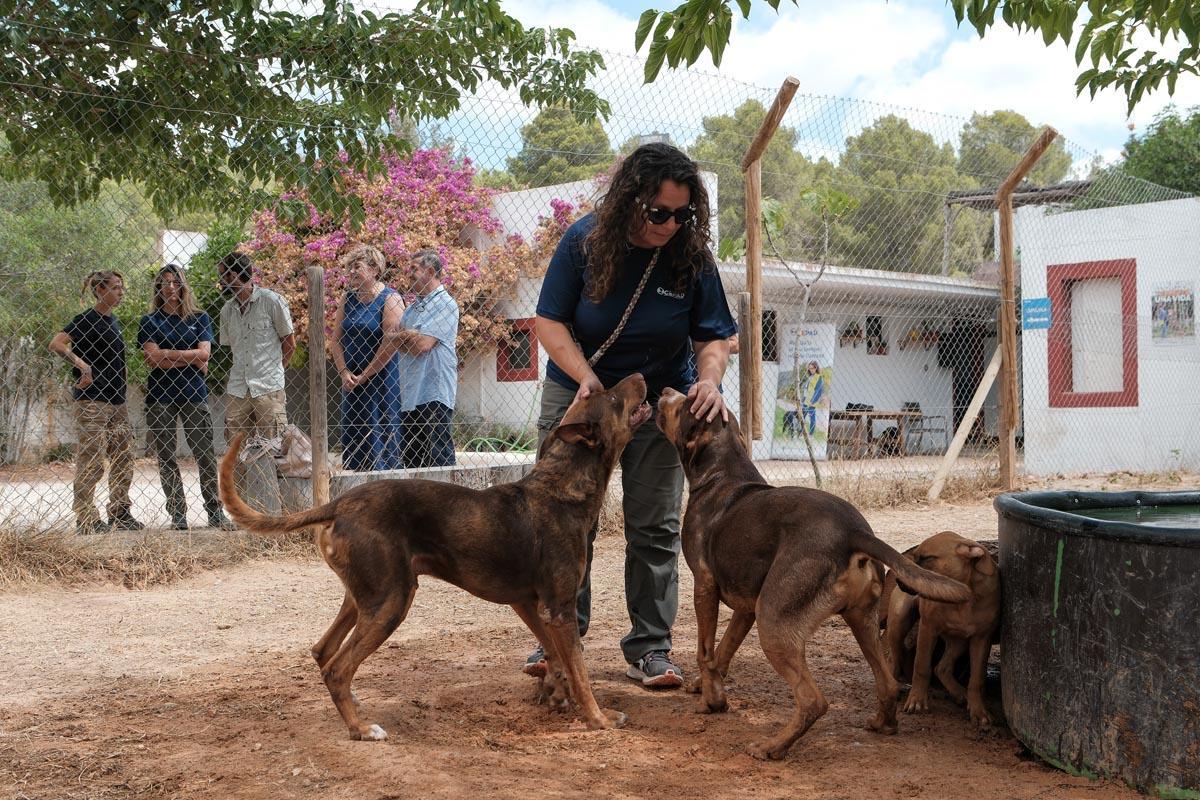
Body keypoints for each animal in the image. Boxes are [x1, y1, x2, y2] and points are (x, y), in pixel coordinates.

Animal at [218, 373, 652, 740]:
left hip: (364, 597)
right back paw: (361, 728)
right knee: (338, 668)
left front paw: (556, 693)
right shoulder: (560, 609)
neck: (561, 486)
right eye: (614, 398)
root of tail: (340, 503)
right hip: (392, 601)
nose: (642, 376)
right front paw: (599, 718)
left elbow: (558, 659)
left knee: (323, 653)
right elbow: (581, 670)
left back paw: (353, 705)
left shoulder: (530, 604)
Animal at [654, 389, 970, 760]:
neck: (722, 474)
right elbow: (723, 651)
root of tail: (853, 532)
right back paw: (883, 724)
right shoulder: (747, 607)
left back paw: (772, 747)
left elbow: (706, 652)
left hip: (774, 622)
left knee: (813, 701)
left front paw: (711, 702)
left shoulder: (705, 587)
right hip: (859, 620)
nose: (664, 391)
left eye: (684, 402)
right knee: (889, 684)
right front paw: (709, 689)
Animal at [885, 531, 1000, 729]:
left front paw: (979, 712)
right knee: (894, 657)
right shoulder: (928, 628)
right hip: (899, 622)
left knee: (942, 667)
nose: (900, 581)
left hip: (960, 640)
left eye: (928, 558)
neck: (962, 599)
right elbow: (921, 666)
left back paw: (960, 694)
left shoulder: (981, 639)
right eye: (916, 557)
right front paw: (917, 701)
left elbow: (976, 679)